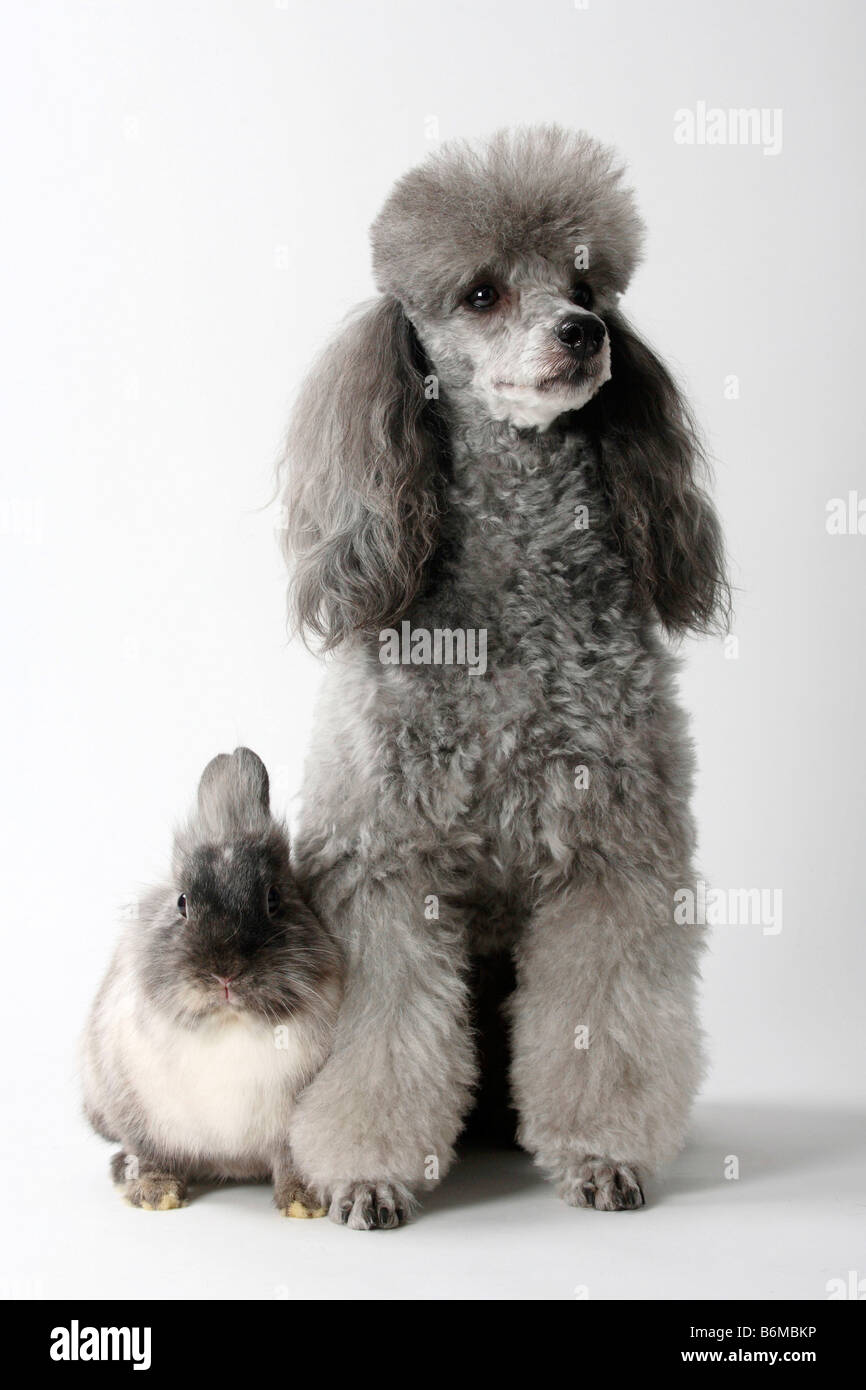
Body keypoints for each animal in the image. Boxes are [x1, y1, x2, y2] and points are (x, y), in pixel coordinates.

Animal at [81, 747, 343, 1216]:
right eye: (182, 902)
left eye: (274, 898)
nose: (225, 972)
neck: (229, 1024)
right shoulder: (137, 1113)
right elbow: (150, 1151)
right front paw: (155, 1195)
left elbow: (293, 1157)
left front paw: (304, 1203)